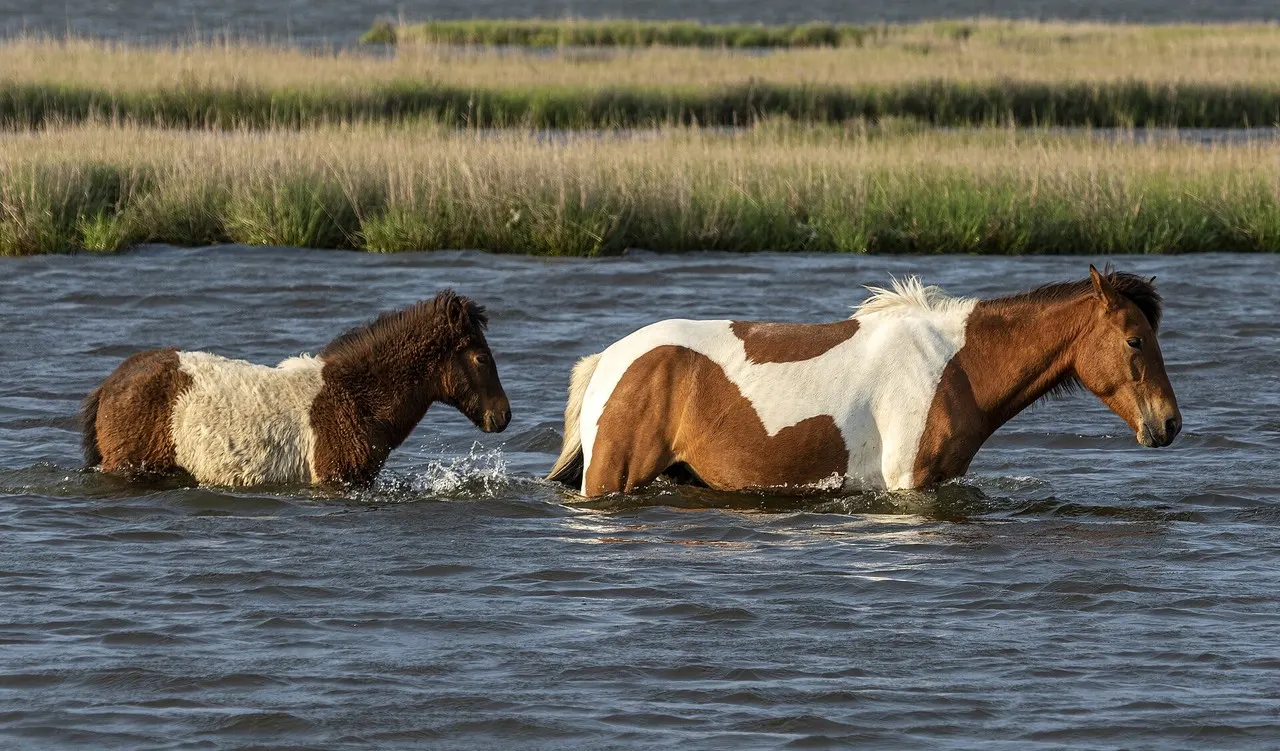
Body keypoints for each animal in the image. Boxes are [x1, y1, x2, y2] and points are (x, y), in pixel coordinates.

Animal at [547, 266, 1181, 497]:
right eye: (1135, 340)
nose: (1169, 424)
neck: (953, 365)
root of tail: (609, 359)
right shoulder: (907, 483)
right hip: (611, 477)